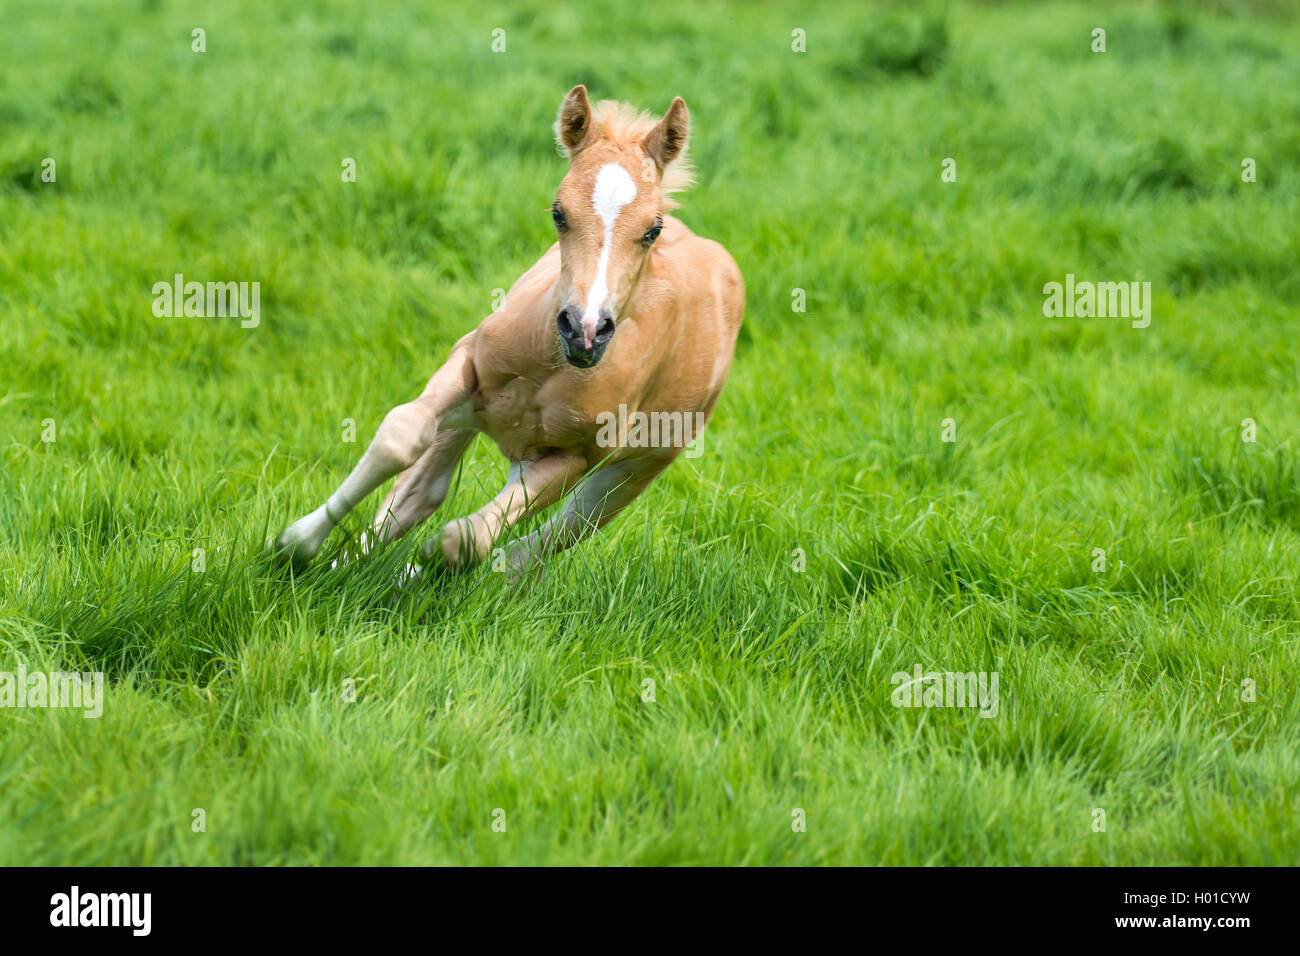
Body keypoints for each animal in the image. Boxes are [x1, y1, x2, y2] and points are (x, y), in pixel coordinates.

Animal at [274, 89, 743, 580]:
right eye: (559, 213)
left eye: (653, 229)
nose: (585, 330)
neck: (551, 365)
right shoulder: (466, 365)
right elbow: (400, 437)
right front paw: (296, 543)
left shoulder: (575, 457)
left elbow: (468, 541)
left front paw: (420, 567)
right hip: (475, 416)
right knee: (422, 493)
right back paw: (344, 565)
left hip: (632, 470)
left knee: (545, 539)